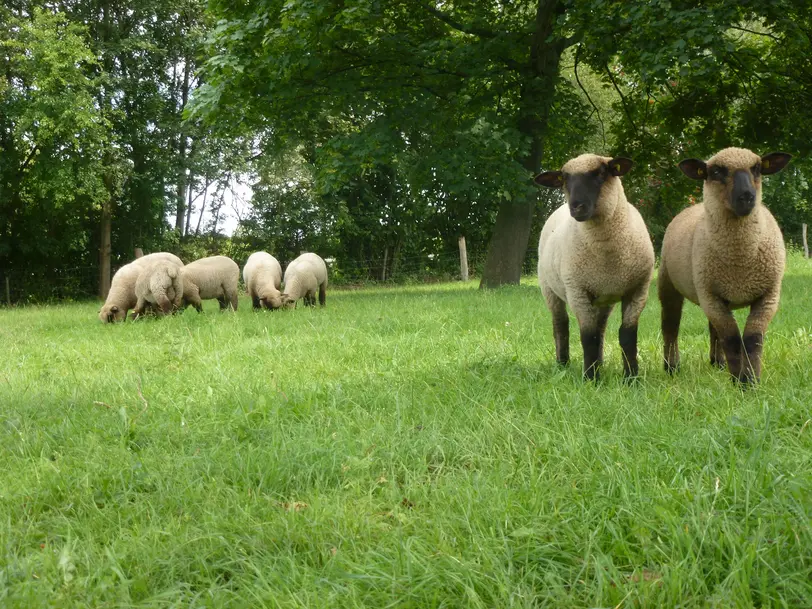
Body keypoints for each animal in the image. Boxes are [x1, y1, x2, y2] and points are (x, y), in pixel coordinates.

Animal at [536, 153, 656, 380]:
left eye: (601, 173)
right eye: (564, 178)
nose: (576, 207)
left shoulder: (638, 290)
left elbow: (627, 336)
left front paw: (631, 378)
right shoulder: (578, 292)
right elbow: (587, 337)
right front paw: (591, 379)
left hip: (604, 298)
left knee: (600, 329)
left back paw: (599, 363)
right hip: (550, 289)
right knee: (560, 325)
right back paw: (563, 364)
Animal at [656, 147, 788, 382]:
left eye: (757, 168)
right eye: (716, 172)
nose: (747, 197)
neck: (739, 261)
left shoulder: (768, 295)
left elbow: (752, 339)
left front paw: (751, 380)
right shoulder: (709, 295)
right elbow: (732, 339)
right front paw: (739, 382)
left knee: (713, 330)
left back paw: (717, 362)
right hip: (669, 284)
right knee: (670, 325)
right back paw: (672, 366)